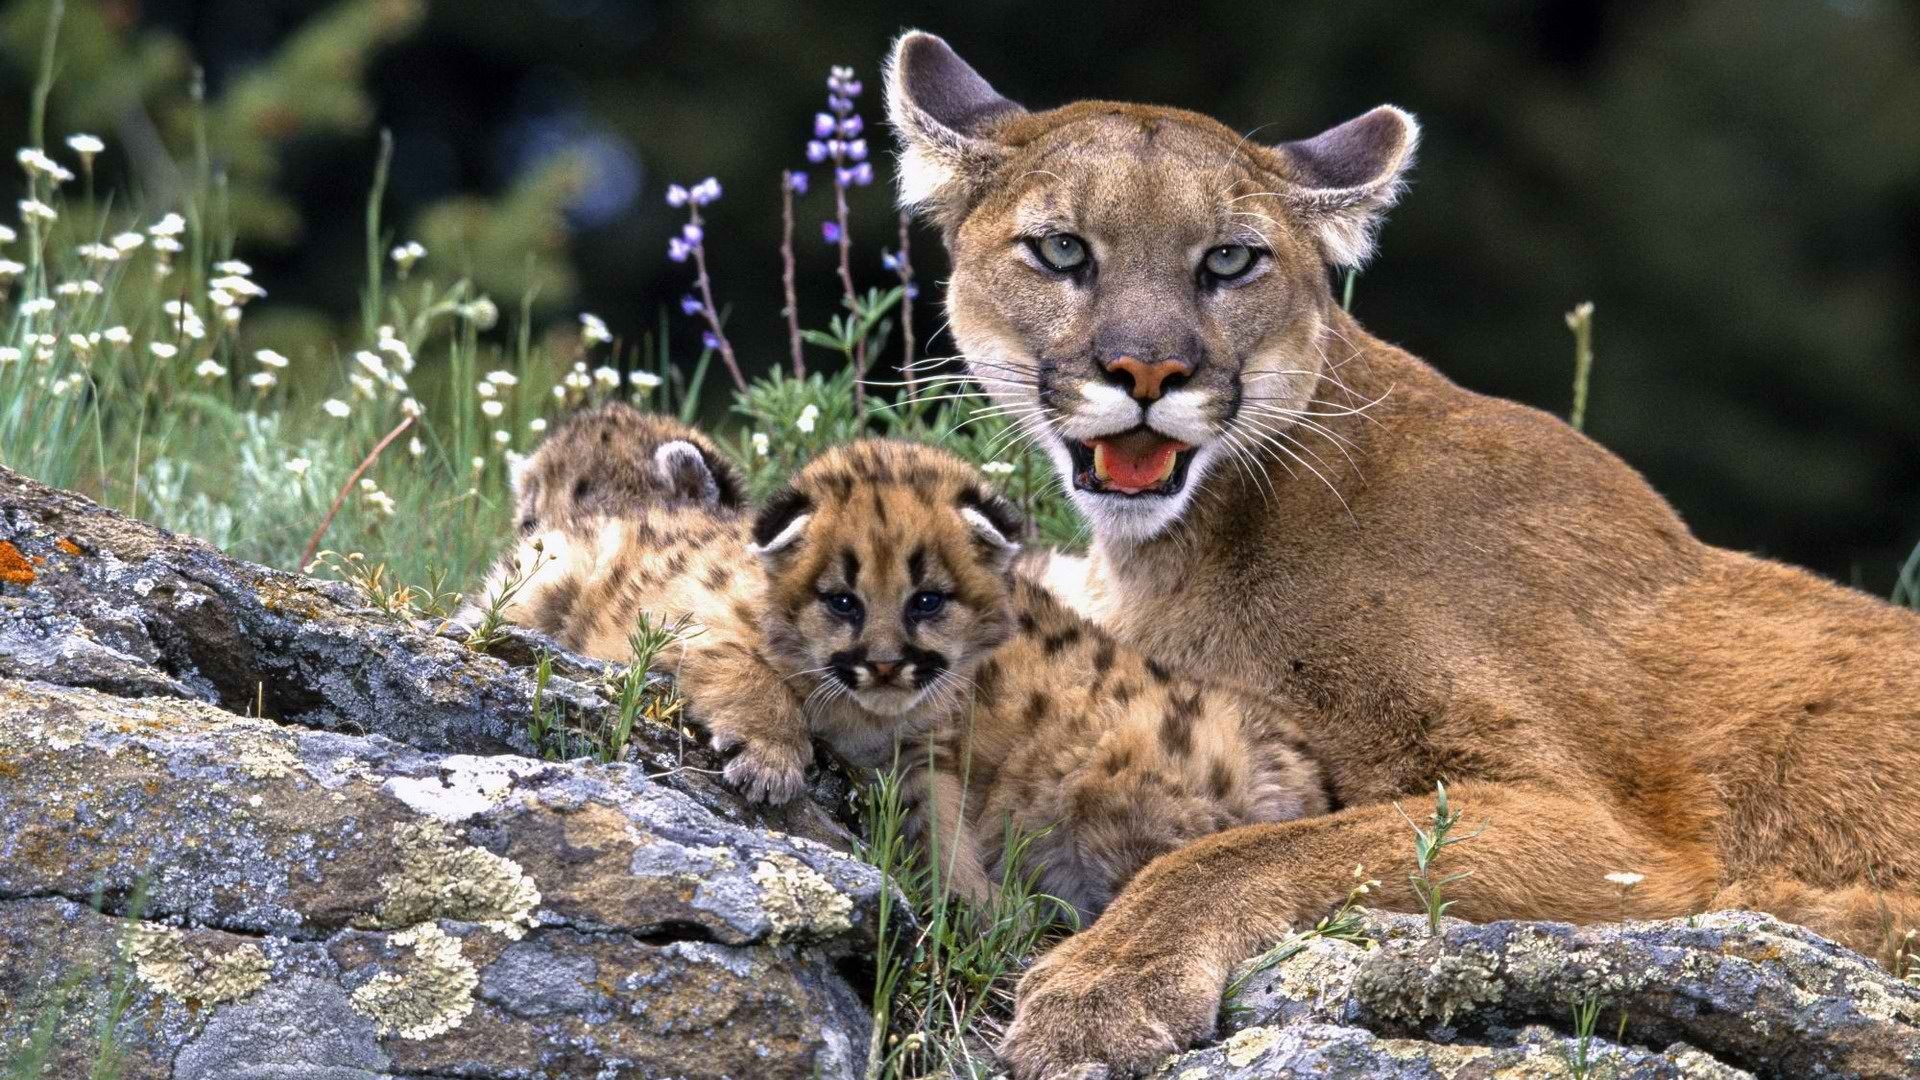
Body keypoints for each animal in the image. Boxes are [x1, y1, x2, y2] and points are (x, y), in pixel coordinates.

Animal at [883, 29, 1920, 1068]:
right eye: (1062, 249)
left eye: (1230, 260)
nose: (1147, 369)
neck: (1185, 545)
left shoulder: (1609, 834)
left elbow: (1240, 852)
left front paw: (1101, 988)